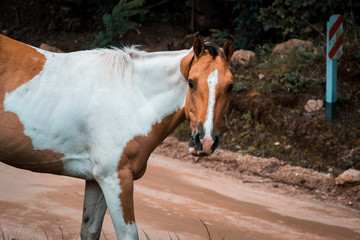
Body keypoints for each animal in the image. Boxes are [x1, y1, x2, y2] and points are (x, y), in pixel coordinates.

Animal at [0, 34, 235, 240]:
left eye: (230, 86)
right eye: (191, 82)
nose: (205, 142)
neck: (131, 95)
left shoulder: (96, 180)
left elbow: (90, 230)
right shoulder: (115, 179)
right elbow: (128, 234)